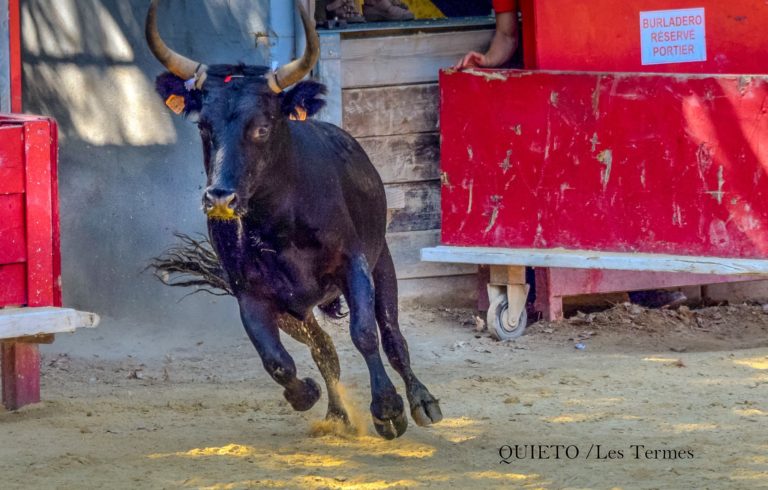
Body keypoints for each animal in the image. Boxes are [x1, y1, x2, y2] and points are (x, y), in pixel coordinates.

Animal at [146, 0, 440, 440]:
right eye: (203, 126)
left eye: (262, 127)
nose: (220, 197)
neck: (278, 224)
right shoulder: (251, 294)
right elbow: (277, 360)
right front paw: (306, 394)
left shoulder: (354, 264)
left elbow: (365, 333)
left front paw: (388, 407)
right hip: (298, 310)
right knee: (323, 349)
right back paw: (337, 414)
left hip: (383, 261)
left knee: (392, 336)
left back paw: (421, 400)